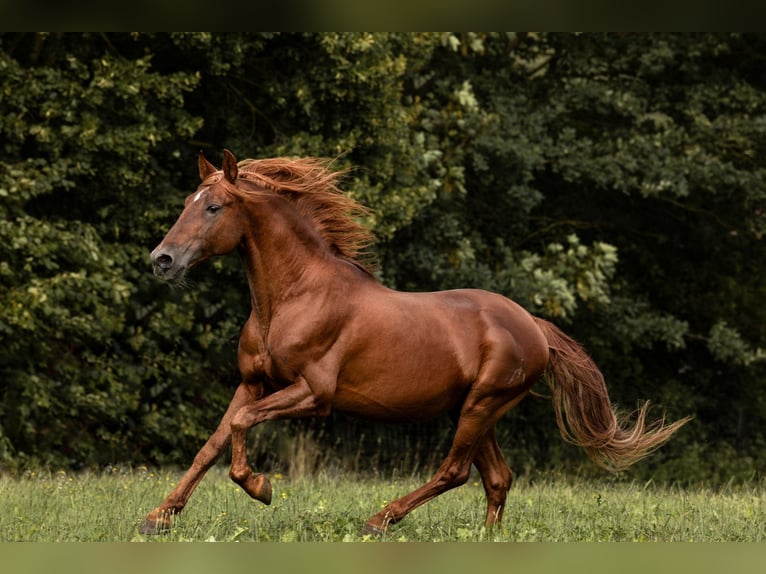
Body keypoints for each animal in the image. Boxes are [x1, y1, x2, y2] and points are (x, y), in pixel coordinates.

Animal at [141, 151, 692, 536]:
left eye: (214, 207)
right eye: (187, 204)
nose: (162, 260)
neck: (294, 296)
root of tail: (534, 325)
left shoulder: (314, 394)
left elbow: (239, 427)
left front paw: (261, 488)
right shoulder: (253, 383)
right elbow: (212, 444)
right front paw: (158, 517)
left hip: (481, 405)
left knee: (456, 471)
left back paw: (379, 520)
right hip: (474, 410)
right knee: (498, 477)